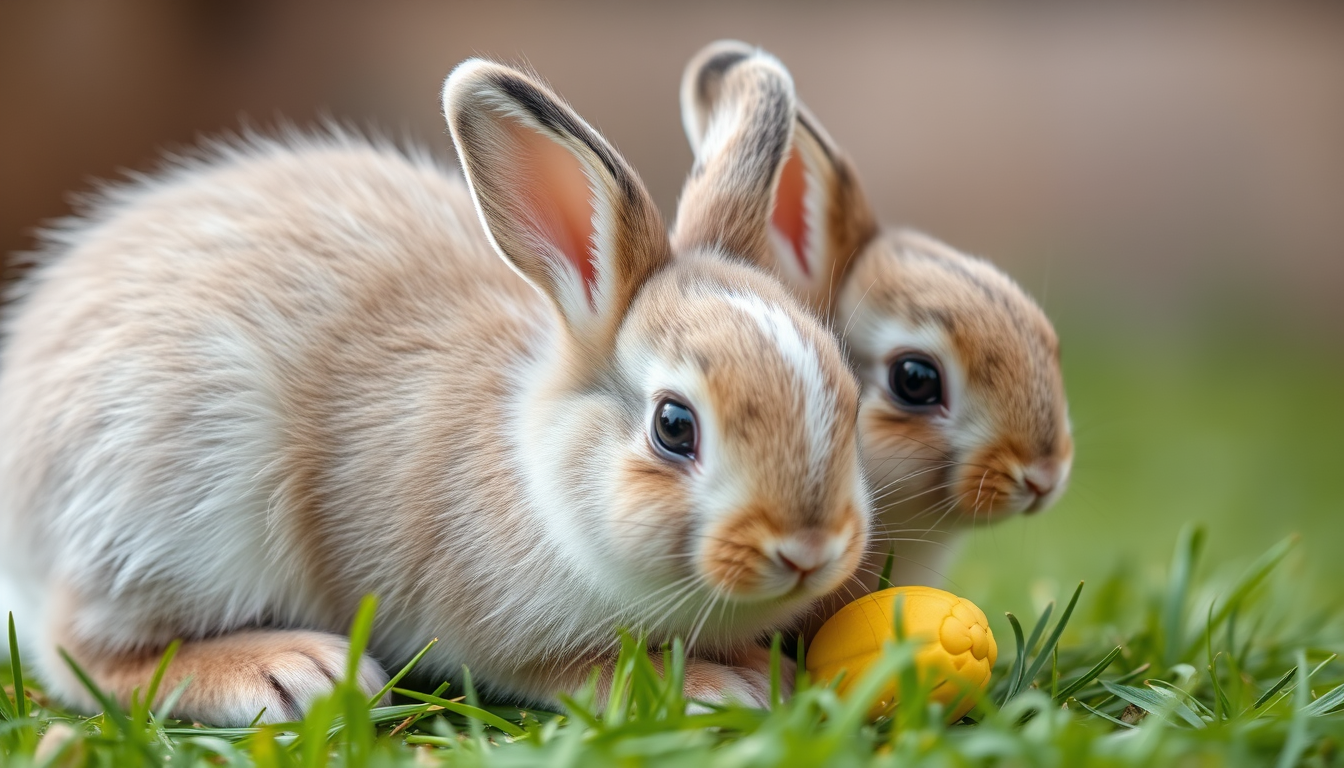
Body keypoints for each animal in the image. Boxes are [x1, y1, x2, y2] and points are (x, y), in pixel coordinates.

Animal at [0, 54, 871, 727]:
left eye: (847, 393)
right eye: (674, 426)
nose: (808, 549)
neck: (537, 472)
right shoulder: (491, 620)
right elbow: (570, 669)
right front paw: (718, 684)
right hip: (168, 517)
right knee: (79, 651)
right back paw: (291, 671)